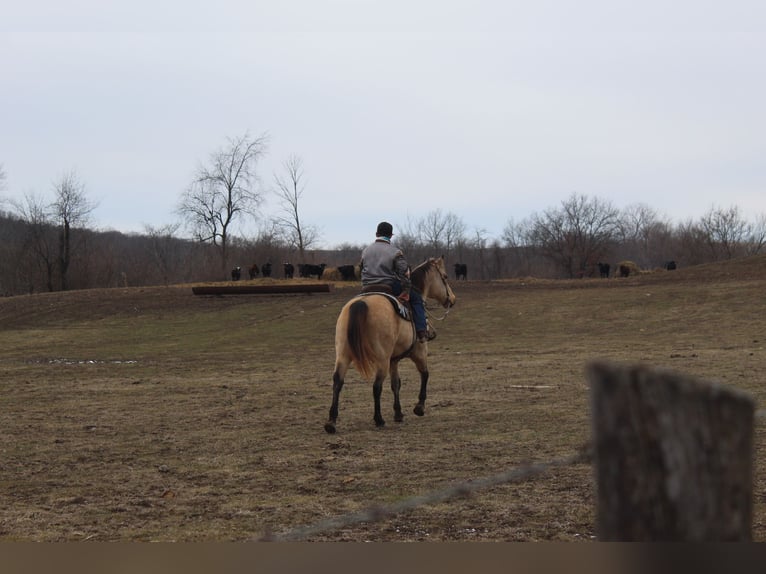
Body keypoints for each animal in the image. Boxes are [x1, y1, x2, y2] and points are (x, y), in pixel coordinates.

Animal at [324, 258, 456, 434]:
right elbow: (425, 374)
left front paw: (398, 413)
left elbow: (396, 384)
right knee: (376, 386)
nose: (452, 299)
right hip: (382, 359)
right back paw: (378, 419)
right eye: (445, 277)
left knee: (338, 382)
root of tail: (361, 303)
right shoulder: (419, 352)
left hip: (343, 355)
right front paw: (419, 407)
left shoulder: (394, 360)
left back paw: (331, 422)